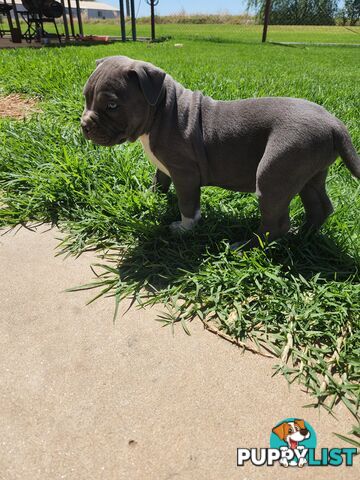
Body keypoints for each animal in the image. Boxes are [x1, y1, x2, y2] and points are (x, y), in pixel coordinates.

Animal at [82, 55, 360, 248]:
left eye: (112, 105)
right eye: (85, 97)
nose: (84, 125)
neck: (161, 109)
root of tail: (335, 124)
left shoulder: (185, 173)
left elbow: (187, 204)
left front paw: (184, 228)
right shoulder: (166, 167)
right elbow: (159, 179)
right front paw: (150, 197)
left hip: (274, 173)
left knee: (276, 224)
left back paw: (246, 246)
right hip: (309, 172)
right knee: (320, 207)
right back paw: (304, 236)